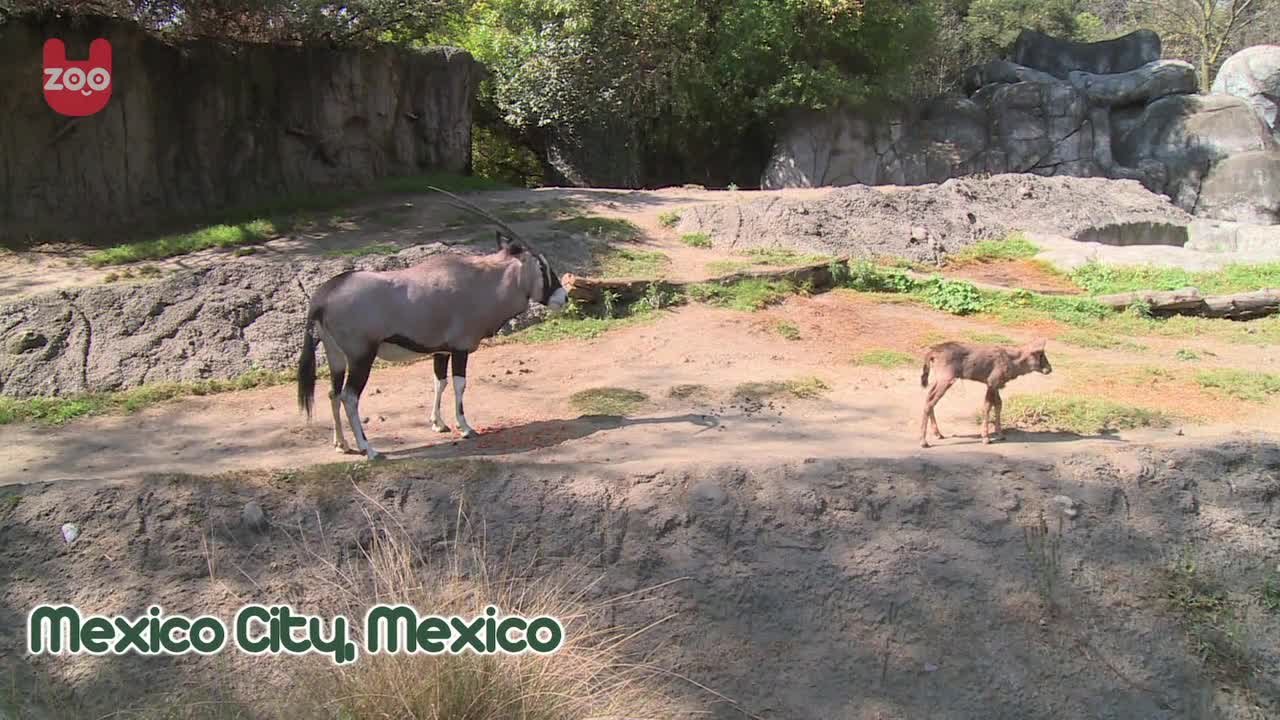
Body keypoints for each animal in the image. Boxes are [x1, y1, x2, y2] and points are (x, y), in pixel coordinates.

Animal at [296, 188, 568, 456]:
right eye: (542, 267)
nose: (563, 297)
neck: (483, 282)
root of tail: (323, 296)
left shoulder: (441, 350)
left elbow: (440, 382)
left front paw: (438, 423)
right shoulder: (460, 348)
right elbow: (459, 384)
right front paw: (465, 427)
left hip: (336, 356)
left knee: (333, 393)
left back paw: (341, 444)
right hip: (361, 356)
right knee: (349, 397)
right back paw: (368, 449)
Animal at [921, 335, 1049, 445]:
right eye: (1040, 354)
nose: (1049, 368)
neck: (1012, 361)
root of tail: (932, 353)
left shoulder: (995, 385)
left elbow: (998, 404)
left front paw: (1000, 434)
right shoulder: (991, 382)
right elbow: (987, 407)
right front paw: (986, 437)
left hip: (939, 380)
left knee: (928, 398)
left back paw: (938, 433)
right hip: (946, 379)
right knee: (930, 403)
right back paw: (924, 441)